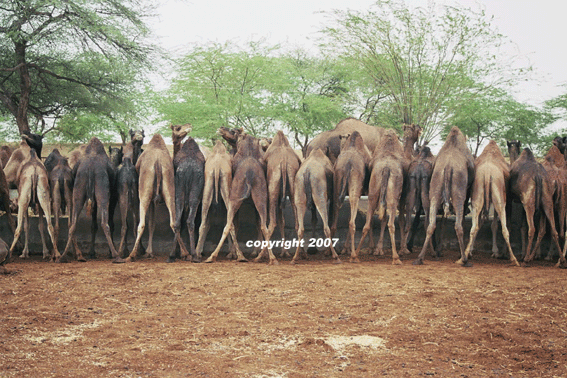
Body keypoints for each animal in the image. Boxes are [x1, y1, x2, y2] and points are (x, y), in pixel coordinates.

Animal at [126, 134, 189, 262]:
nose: (137, 138)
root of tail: (158, 162)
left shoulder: (150, 200)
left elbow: (149, 223)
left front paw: (148, 252)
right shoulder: (154, 201)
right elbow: (152, 224)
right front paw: (149, 252)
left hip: (144, 192)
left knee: (141, 224)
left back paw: (132, 255)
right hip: (169, 187)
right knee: (174, 222)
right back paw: (185, 253)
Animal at [206, 134, 278, 264]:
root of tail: (249, 174)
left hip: (234, 197)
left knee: (228, 225)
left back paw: (214, 256)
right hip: (260, 197)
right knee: (264, 226)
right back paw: (271, 258)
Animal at [330, 130, 370, 260]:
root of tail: (348, 164)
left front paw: (344, 249)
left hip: (337, 183)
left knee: (334, 223)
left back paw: (330, 252)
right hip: (355, 187)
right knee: (352, 223)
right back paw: (354, 255)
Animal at [356, 128, 408, 264]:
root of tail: (386, 168)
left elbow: (382, 219)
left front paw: (378, 250)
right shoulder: (402, 197)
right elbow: (398, 220)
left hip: (373, 192)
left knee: (367, 223)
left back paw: (355, 255)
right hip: (393, 197)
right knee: (391, 223)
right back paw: (396, 257)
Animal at [412, 126, 474, 266]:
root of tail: (448, 166)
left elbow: (443, 221)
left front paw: (439, 250)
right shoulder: (466, 192)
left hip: (435, 189)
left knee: (430, 224)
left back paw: (420, 257)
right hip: (458, 194)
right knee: (458, 226)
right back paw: (464, 260)